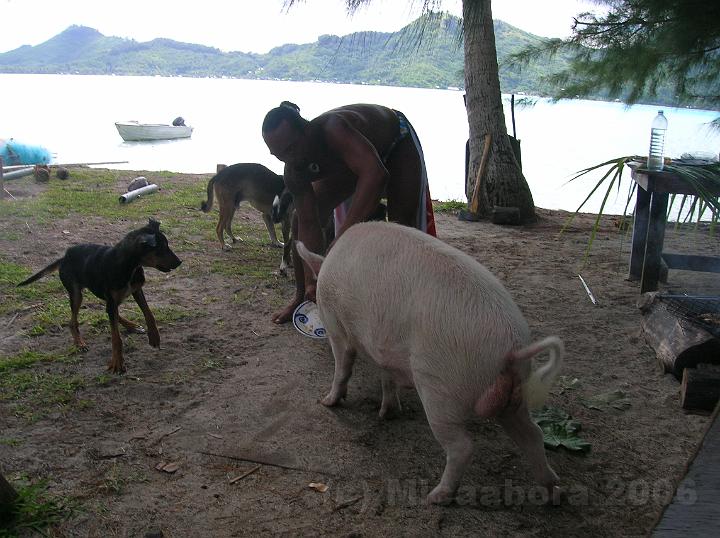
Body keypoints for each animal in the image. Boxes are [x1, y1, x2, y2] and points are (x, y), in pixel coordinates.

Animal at [16, 218, 181, 372]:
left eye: (167, 245)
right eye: (161, 249)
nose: (180, 262)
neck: (129, 266)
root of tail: (64, 257)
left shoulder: (136, 290)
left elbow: (149, 314)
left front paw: (154, 337)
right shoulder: (114, 298)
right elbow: (116, 338)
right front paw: (117, 363)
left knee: (108, 311)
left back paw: (131, 326)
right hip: (77, 294)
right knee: (74, 321)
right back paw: (80, 343)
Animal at [296, 220, 564, 504]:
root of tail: (513, 348)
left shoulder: (336, 325)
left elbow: (343, 366)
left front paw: (326, 402)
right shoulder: (383, 347)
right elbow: (386, 376)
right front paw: (386, 413)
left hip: (441, 389)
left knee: (463, 447)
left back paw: (435, 497)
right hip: (515, 397)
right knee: (534, 434)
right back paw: (554, 493)